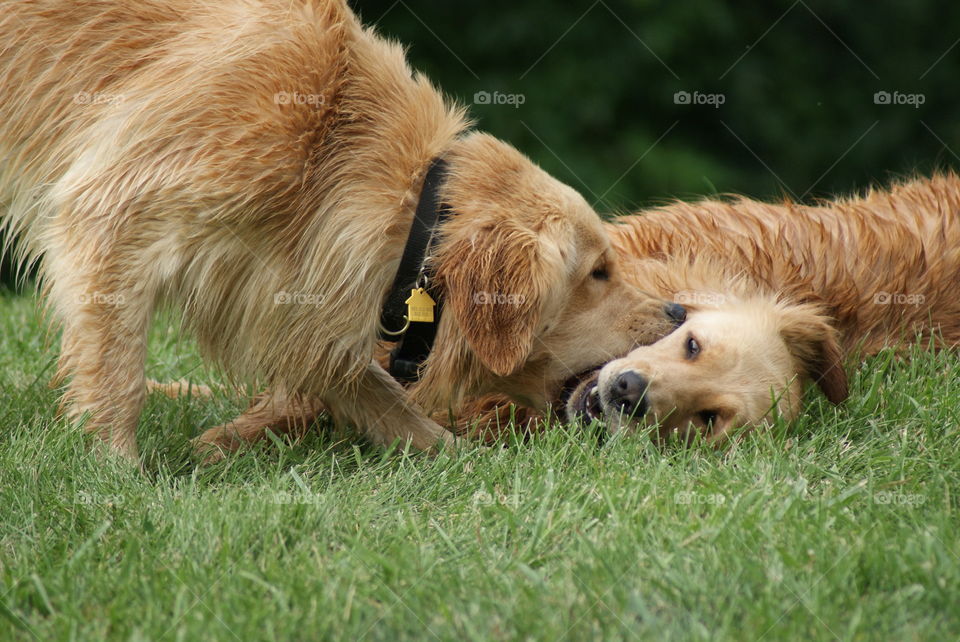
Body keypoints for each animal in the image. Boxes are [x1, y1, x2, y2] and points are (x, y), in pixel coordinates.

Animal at [0, 1, 680, 460]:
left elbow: (379, 394)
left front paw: (460, 460)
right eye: (597, 272)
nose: (678, 311)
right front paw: (115, 475)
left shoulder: (297, 291)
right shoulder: (112, 210)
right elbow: (117, 376)